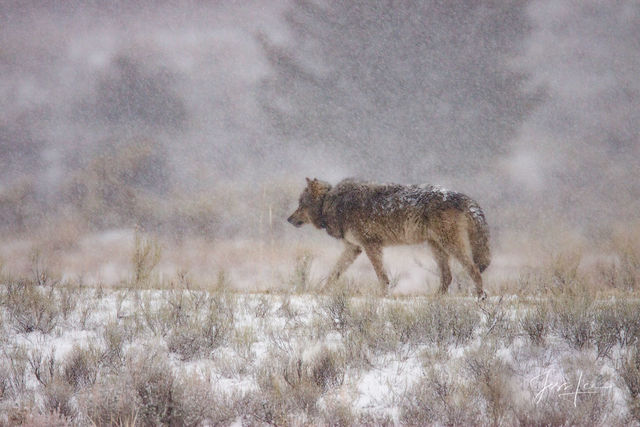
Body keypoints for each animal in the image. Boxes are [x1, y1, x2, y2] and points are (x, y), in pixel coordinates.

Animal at [288, 178, 492, 298]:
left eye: (300, 204)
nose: (288, 219)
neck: (331, 203)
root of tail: (464, 198)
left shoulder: (371, 246)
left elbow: (382, 277)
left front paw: (383, 297)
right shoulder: (354, 248)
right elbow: (333, 273)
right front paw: (321, 292)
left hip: (450, 246)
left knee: (473, 270)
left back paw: (480, 297)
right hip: (436, 248)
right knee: (448, 277)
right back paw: (435, 299)